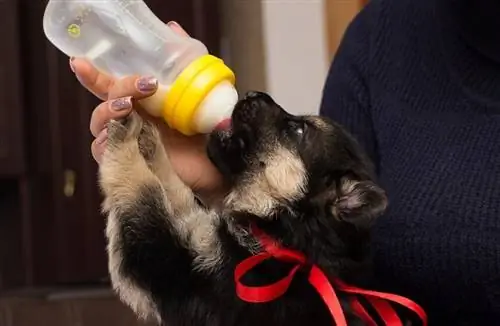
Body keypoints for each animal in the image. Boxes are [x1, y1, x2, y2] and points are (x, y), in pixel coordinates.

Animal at [97, 90, 390, 324]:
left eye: (297, 130)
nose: (252, 93)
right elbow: (175, 191)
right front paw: (150, 142)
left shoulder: (167, 263)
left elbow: (143, 190)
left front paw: (125, 133)